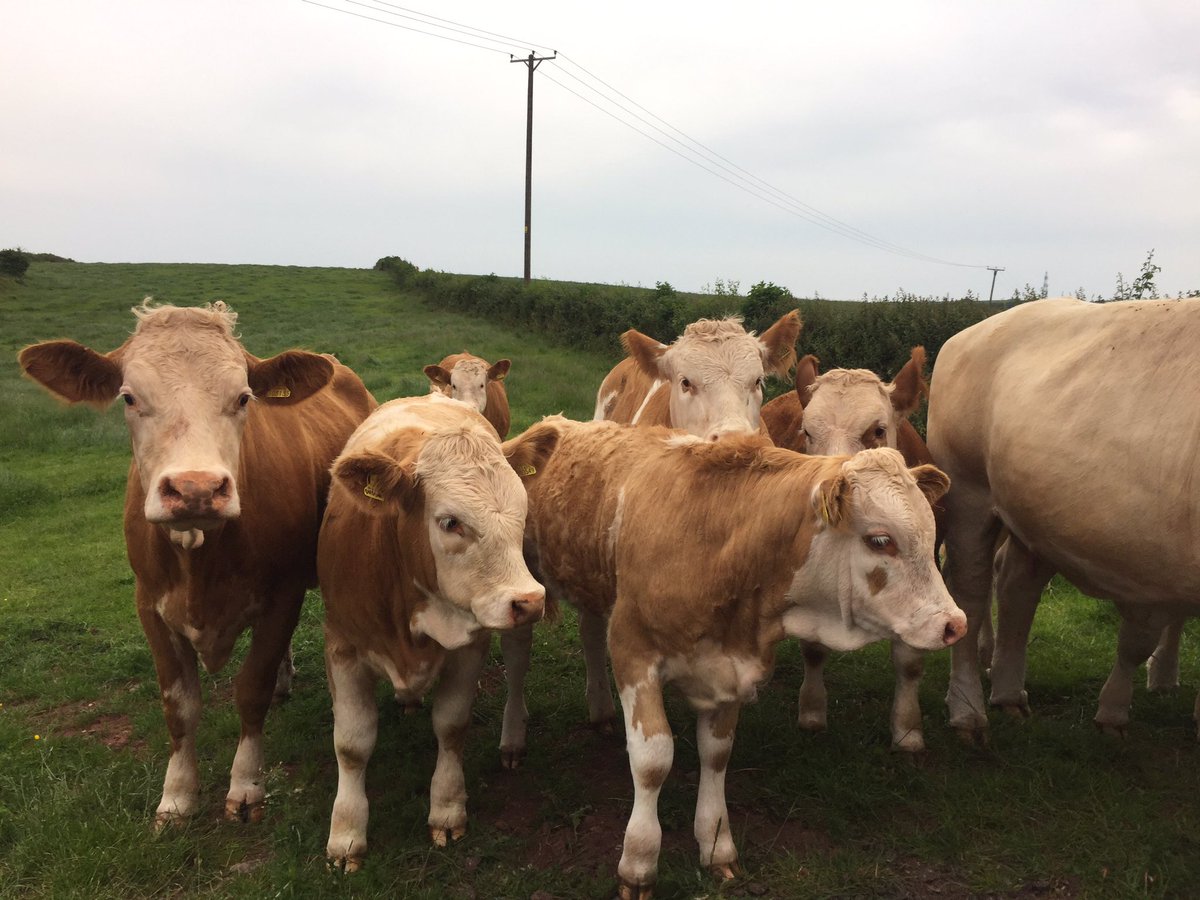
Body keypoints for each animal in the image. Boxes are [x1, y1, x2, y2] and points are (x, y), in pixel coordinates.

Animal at [18, 300, 375, 825]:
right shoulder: (148, 603)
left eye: (244, 398)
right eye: (129, 398)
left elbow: (251, 687)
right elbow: (179, 705)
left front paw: (245, 785)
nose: (196, 489)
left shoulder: (283, 594)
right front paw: (177, 795)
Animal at [318, 393, 555, 872]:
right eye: (450, 522)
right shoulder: (342, 644)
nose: (528, 601)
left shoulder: (471, 644)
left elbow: (451, 725)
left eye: (522, 509)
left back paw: (512, 737)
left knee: (517, 669)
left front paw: (447, 809)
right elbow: (351, 745)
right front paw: (346, 834)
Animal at [503, 417, 966, 897]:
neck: (720, 542)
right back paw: (513, 737)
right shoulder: (633, 649)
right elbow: (652, 762)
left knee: (591, 634)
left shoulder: (728, 668)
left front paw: (716, 845)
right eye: (880, 540)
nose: (955, 623)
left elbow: (716, 755)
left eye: (930, 535)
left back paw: (599, 710)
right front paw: (638, 862)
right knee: (517, 658)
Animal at [761, 347, 940, 751]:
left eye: (876, 431)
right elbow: (813, 648)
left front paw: (908, 730)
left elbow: (910, 658)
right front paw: (812, 711)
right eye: (807, 432)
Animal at [927, 298, 1200, 743]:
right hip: (969, 493)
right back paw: (968, 710)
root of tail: (970, 333)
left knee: (1017, 587)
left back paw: (1008, 692)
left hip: (1035, 516)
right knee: (971, 592)